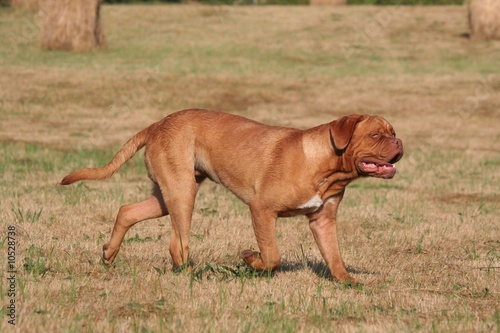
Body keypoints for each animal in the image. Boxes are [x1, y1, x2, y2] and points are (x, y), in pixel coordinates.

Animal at [60, 109, 402, 282]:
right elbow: (272, 255)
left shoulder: (323, 220)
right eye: (375, 135)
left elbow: (335, 256)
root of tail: (157, 123)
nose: (399, 142)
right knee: (177, 243)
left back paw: (109, 254)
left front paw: (347, 282)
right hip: (182, 193)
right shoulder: (261, 209)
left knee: (127, 210)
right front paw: (251, 259)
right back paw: (193, 275)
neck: (327, 166)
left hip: (167, 194)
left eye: (393, 132)